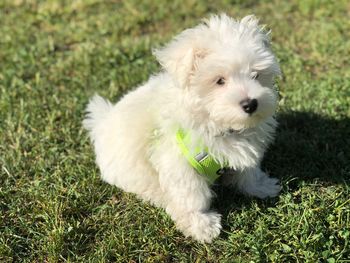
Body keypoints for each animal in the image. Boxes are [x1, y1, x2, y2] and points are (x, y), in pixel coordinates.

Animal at [84, 14, 282, 244]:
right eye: (219, 81)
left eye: (256, 75)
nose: (250, 104)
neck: (214, 121)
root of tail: (101, 121)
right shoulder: (177, 160)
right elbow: (192, 195)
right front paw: (201, 224)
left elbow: (248, 171)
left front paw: (260, 186)